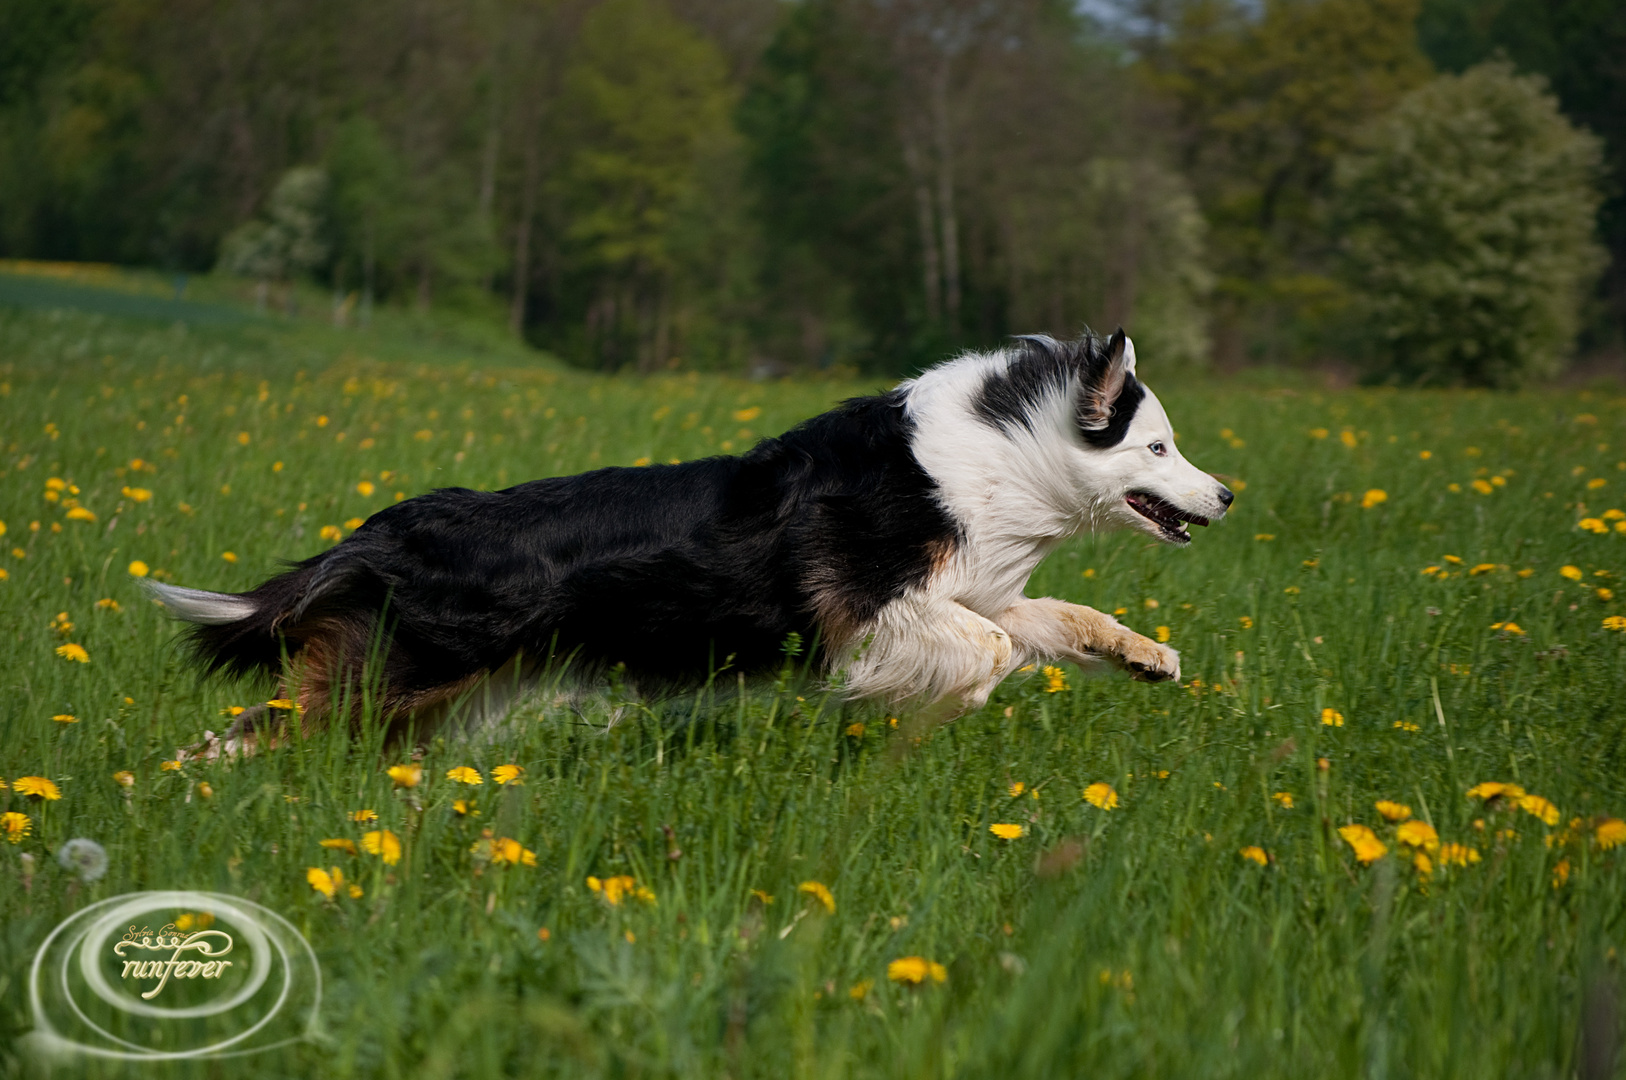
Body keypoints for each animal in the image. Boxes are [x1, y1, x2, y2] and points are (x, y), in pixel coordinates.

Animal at [152, 328, 1222, 748]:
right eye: (1159, 445)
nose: (1226, 494)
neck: (1002, 453)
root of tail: (389, 525)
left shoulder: (971, 588)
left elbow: (1059, 617)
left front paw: (1152, 657)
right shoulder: (873, 609)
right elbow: (992, 650)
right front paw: (921, 708)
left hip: (433, 694)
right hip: (400, 672)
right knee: (256, 728)